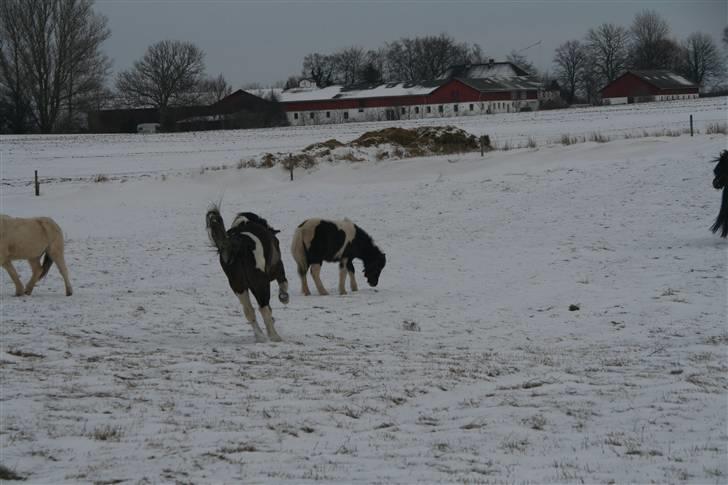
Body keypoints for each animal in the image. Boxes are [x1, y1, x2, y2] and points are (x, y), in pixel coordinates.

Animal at [206, 206, 288, 342]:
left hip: (238, 286)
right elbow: (284, 283)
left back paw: (260, 336)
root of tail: (238, 244)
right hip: (260, 283)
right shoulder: (278, 268)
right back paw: (274, 336)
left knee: (249, 311)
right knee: (263, 308)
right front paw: (284, 297)